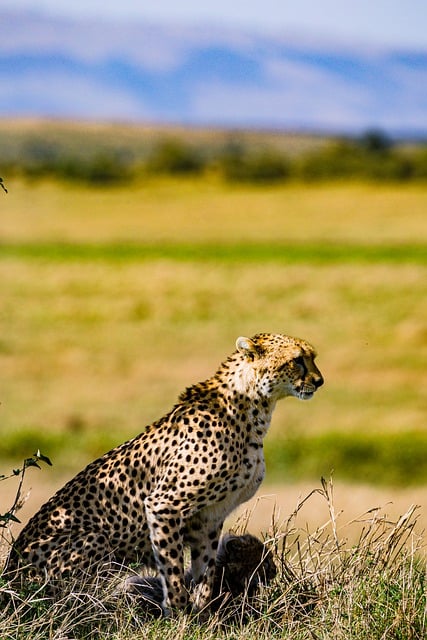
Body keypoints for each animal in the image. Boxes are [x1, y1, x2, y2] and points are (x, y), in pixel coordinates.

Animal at [5, 332, 322, 612]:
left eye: (312, 357)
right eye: (297, 360)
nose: (319, 381)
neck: (253, 408)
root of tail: (10, 571)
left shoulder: (210, 516)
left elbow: (205, 570)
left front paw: (202, 616)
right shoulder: (164, 504)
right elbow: (172, 568)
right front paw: (178, 615)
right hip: (95, 541)